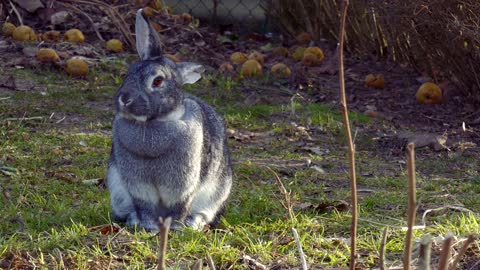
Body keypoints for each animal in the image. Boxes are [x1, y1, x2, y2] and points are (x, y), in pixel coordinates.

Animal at [105, 8, 232, 232]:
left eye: (157, 81)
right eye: (128, 73)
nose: (124, 98)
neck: (153, 123)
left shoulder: (183, 186)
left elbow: (179, 205)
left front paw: (176, 228)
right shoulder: (138, 186)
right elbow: (144, 206)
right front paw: (149, 227)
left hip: (215, 195)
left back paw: (192, 223)